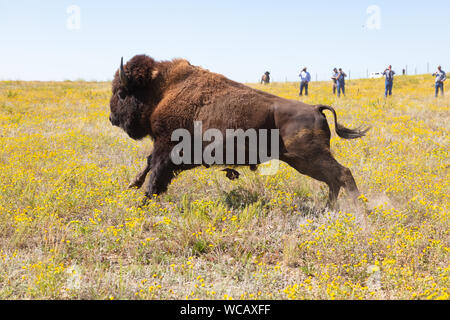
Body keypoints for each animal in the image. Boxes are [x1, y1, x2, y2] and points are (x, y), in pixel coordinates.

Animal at [110, 55, 370, 208]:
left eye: (122, 93)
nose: (112, 118)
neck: (162, 91)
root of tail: (315, 108)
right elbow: (149, 165)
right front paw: (133, 186)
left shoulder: (167, 148)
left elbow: (155, 173)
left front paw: (142, 203)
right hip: (303, 161)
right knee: (334, 179)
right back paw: (330, 209)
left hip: (309, 158)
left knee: (343, 174)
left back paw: (360, 210)